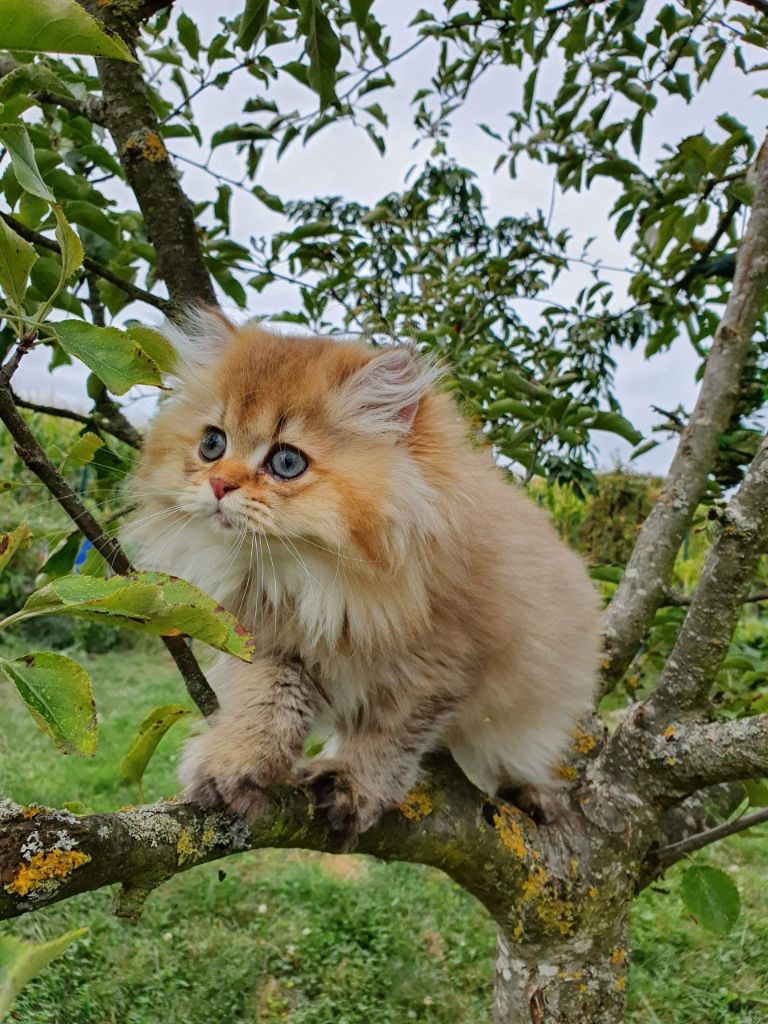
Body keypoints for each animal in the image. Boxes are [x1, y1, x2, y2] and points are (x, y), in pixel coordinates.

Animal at [126, 309, 606, 839]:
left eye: (286, 462)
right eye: (213, 444)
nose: (217, 484)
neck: (322, 585)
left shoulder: (437, 667)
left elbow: (387, 738)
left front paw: (354, 787)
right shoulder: (270, 645)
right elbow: (264, 707)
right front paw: (234, 763)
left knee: (517, 756)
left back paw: (533, 795)